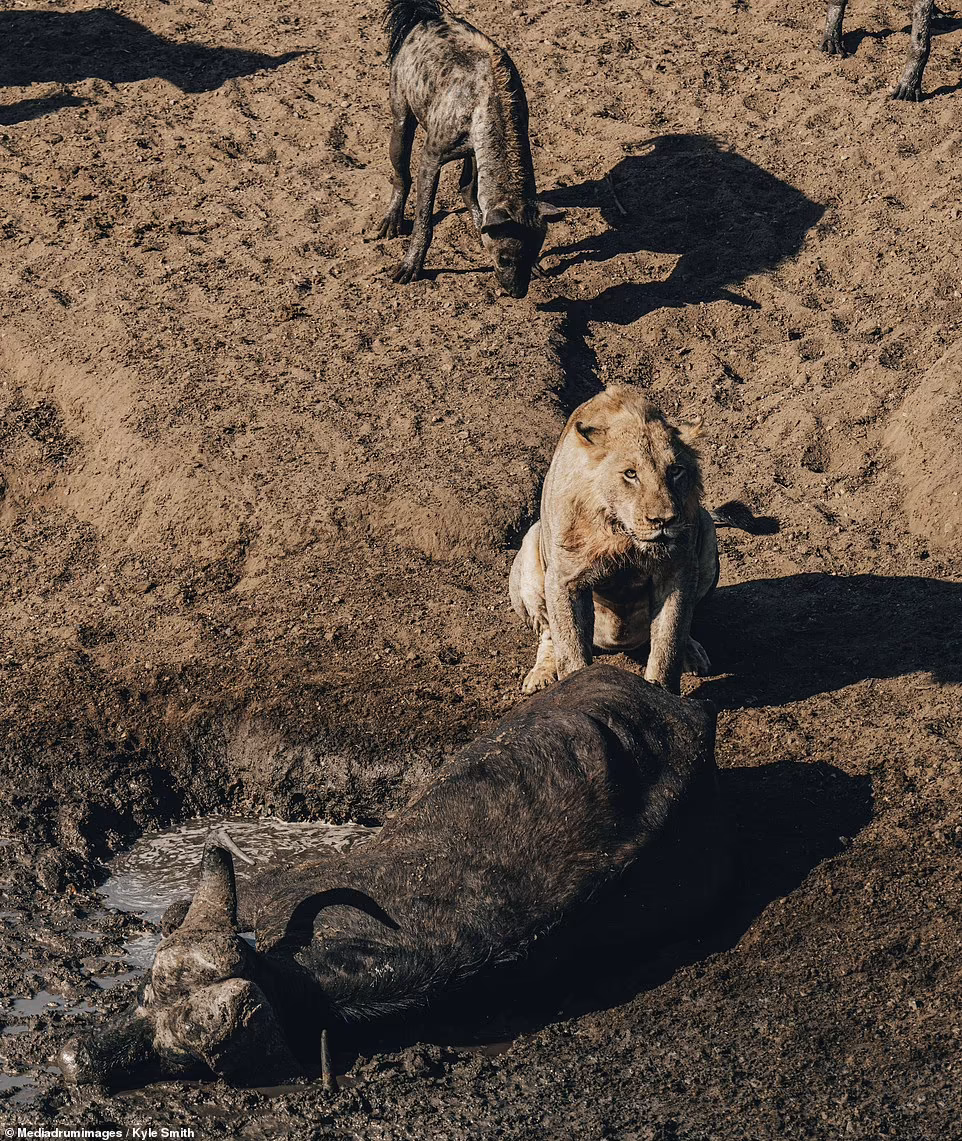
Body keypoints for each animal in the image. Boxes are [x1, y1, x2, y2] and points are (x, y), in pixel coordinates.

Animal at [511, 385, 721, 693]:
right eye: (631, 474)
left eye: (675, 471)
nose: (664, 520)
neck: (623, 537)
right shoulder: (564, 578)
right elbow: (570, 646)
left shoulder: (677, 571)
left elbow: (668, 641)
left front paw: (661, 691)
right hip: (530, 545)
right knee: (549, 633)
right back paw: (541, 675)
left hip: (706, 529)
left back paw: (692, 654)